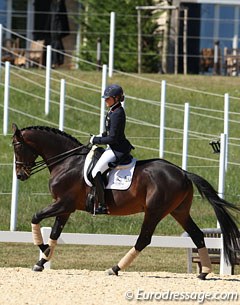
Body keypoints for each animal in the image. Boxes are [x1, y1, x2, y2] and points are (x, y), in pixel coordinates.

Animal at [12, 123, 240, 278]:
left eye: (17, 147)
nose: (20, 175)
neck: (67, 162)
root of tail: (183, 172)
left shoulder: (63, 204)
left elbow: (36, 217)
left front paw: (44, 251)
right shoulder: (65, 208)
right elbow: (54, 233)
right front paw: (42, 261)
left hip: (155, 211)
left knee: (143, 240)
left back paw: (115, 268)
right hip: (179, 211)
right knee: (197, 235)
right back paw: (204, 272)